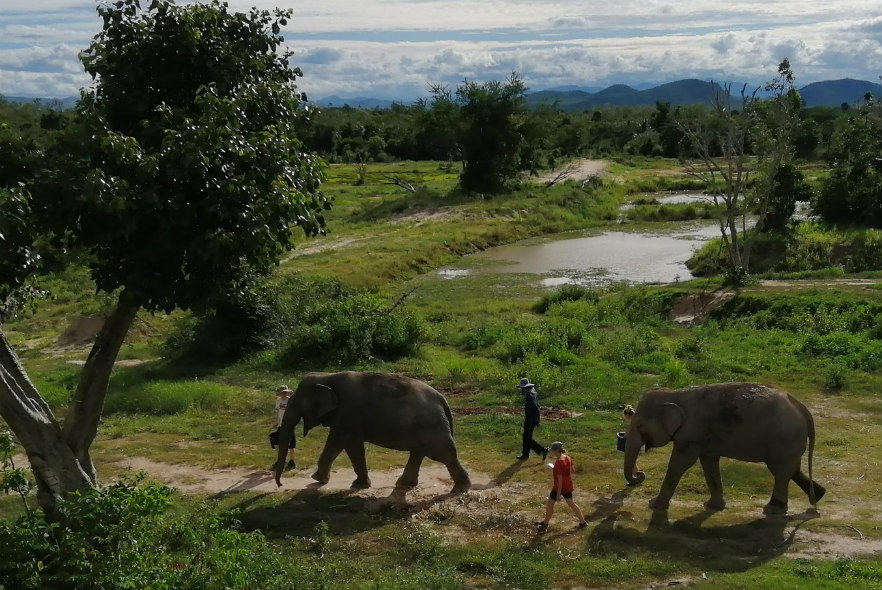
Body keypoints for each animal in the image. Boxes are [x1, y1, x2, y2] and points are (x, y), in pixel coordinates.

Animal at [272, 374, 470, 494]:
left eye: (295, 404)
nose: (280, 485)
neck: (326, 376)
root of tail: (442, 398)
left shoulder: (349, 413)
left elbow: (352, 446)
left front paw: (358, 485)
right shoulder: (341, 419)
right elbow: (335, 443)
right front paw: (317, 479)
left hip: (431, 426)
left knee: (444, 454)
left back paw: (461, 488)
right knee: (419, 452)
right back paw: (404, 483)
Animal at [624, 384, 820, 512]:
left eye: (640, 425)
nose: (639, 474)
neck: (673, 394)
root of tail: (804, 410)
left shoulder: (692, 432)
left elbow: (680, 463)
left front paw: (654, 505)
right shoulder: (704, 437)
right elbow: (709, 462)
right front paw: (712, 506)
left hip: (785, 438)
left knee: (780, 471)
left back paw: (772, 508)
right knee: (790, 469)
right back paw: (818, 495)